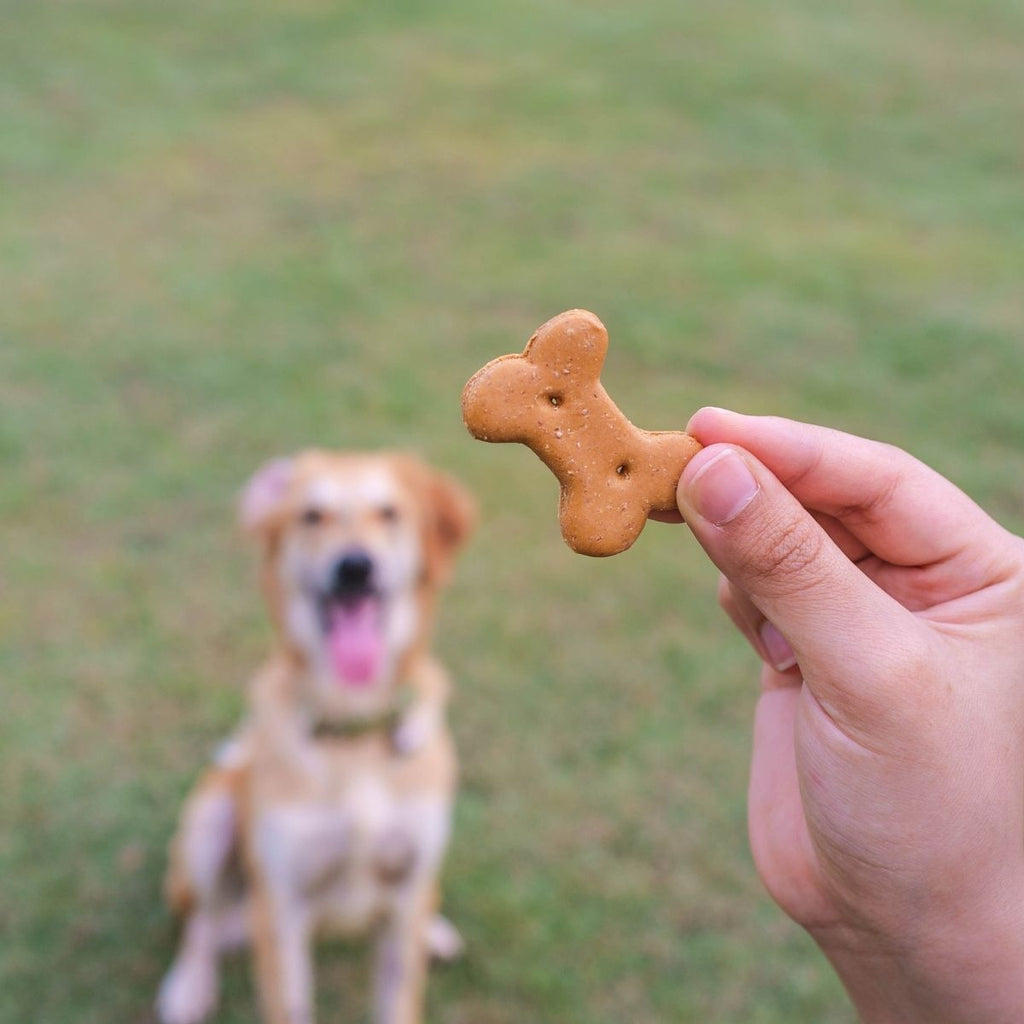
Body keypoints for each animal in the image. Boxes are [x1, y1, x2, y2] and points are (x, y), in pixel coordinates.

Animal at [155, 452, 475, 1024]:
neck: (353, 726)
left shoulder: (405, 891)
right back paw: (188, 986)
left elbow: (399, 991)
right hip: (209, 823)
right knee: (202, 922)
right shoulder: (281, 912)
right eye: (311, 516)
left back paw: (435, 931)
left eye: (388, 513)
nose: (355, 567)